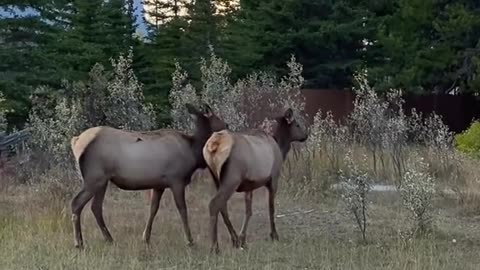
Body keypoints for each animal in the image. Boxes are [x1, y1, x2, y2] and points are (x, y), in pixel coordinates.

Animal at [69, 103, 232, 249]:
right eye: (218, 118)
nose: (228, 125)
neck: (194, 153)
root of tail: (76, 141)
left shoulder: (159, 185)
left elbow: (153, 209)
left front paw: (146, 238)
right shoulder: (176, 180)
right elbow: (182, 209)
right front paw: (190, 241)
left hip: (103, 180)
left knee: (96, 207)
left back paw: (109, 239)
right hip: (94, 177)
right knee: (76, 202)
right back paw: (79, 243)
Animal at [202, 107, 308, 253]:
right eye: (297, 125)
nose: (306, 135)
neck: (281, 149)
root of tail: (215, 145)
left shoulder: (249, 185)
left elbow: (249, 211)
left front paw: (243, 239)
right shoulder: (274, 178)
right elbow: (271, 208)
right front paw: (274, 235)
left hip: (215, 178)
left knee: (222, 206)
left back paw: (234, 239)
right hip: (232, 178)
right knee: (214, 204)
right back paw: (215, 247)